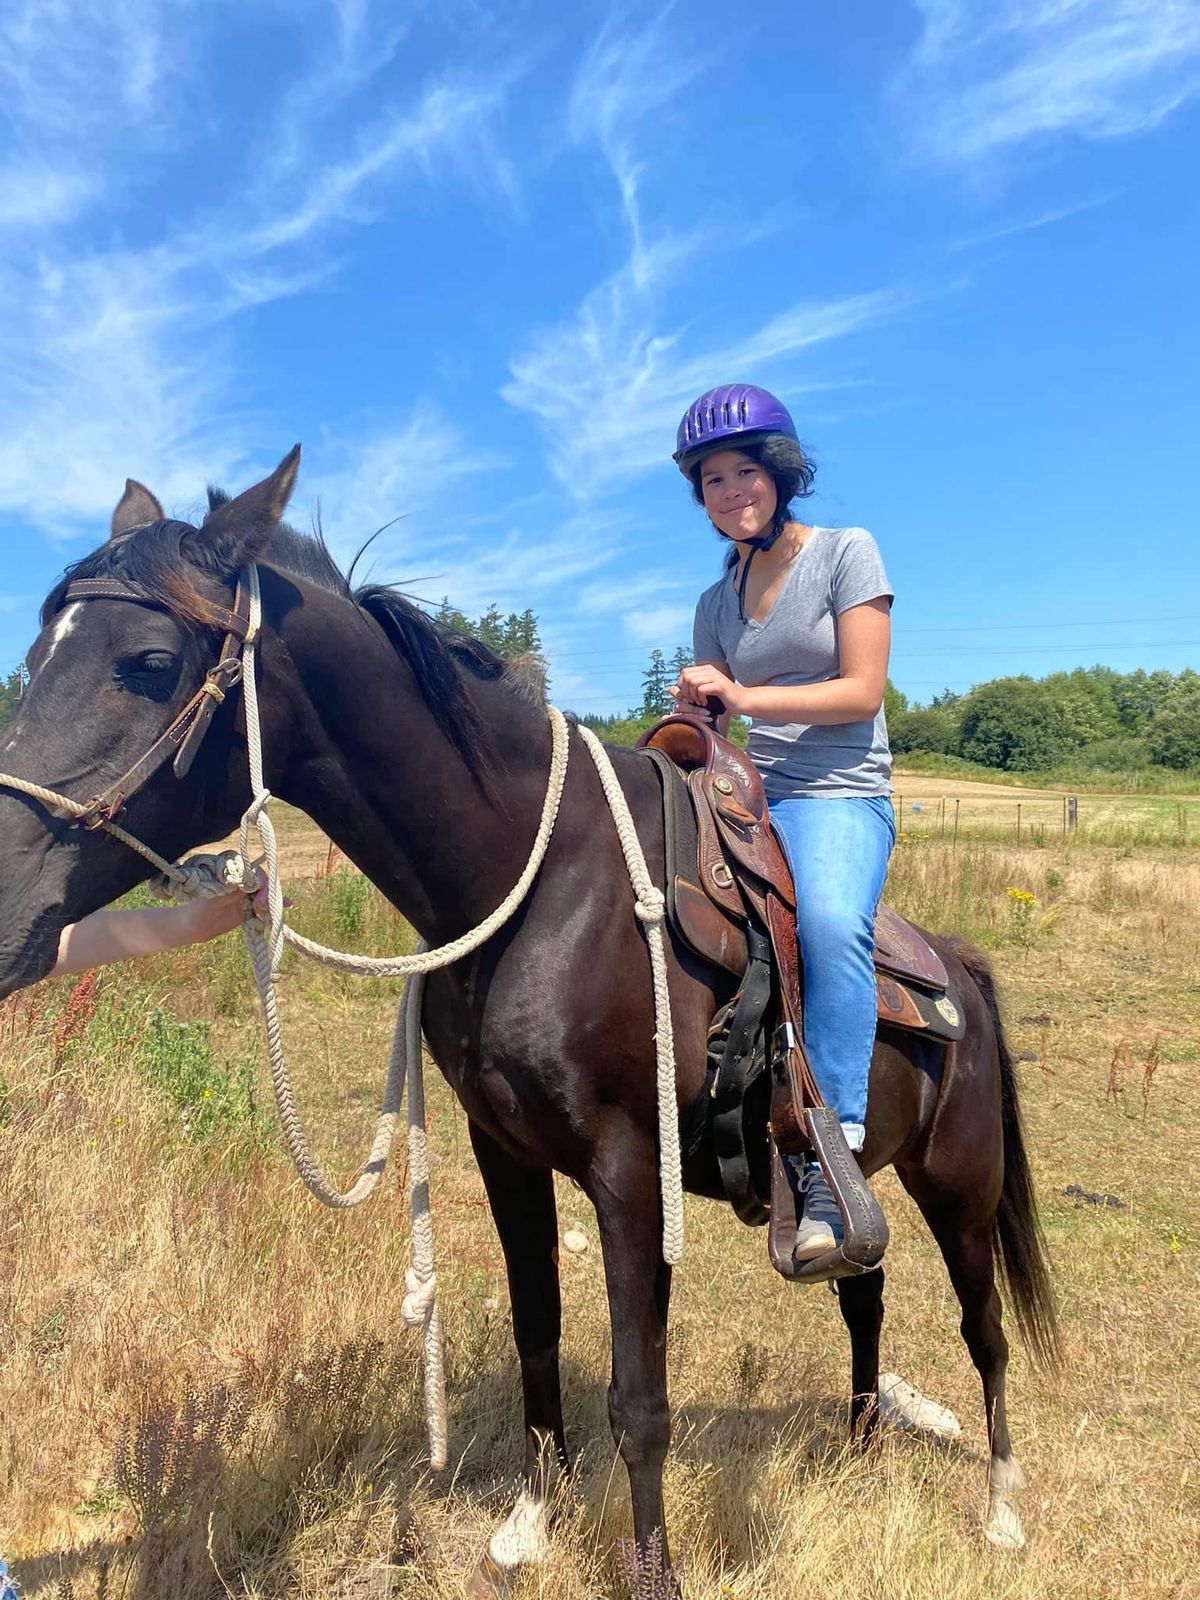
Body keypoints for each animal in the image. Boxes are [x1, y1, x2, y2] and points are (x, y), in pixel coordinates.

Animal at [0, 457, 1049, 1593]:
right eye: (34, 657)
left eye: (149, 663)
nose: (4, 904)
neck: (540, 882)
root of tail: (956, 964)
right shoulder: (503, 1150)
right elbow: (537, 1333)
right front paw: (532, 1520)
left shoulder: (632, 1174)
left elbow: (640, 1401)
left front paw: (650, 1570)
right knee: (866, 1293)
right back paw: (858, 1449)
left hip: (961, 1184)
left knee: (984, 1330)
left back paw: (1003, 1507)